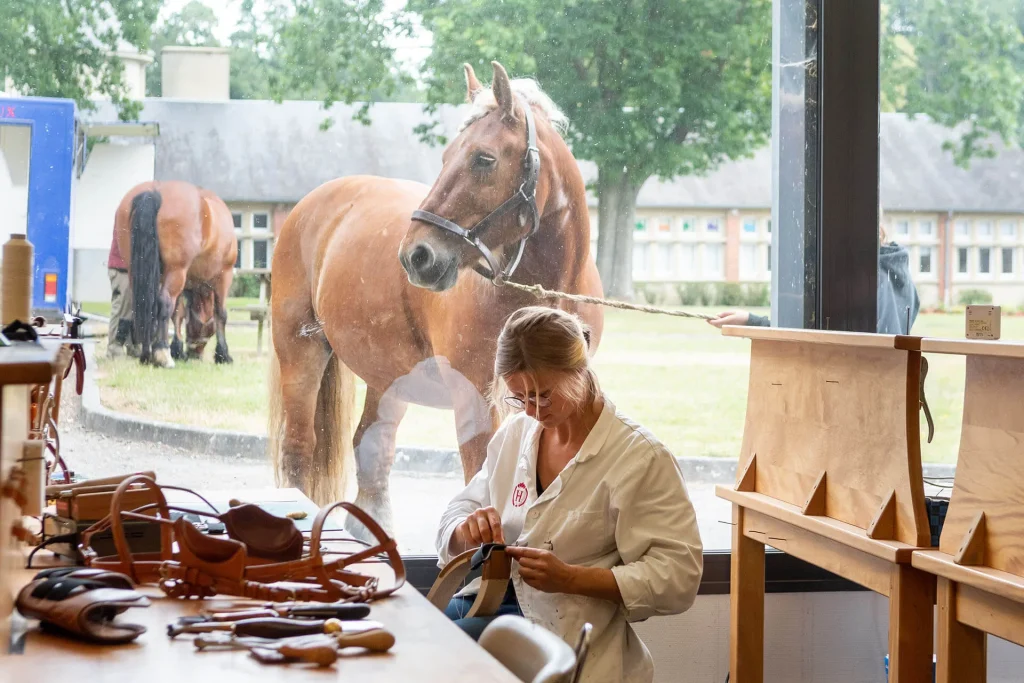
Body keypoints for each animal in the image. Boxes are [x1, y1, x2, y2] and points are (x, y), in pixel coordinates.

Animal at [114, 180, 237, 368]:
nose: (195, 352)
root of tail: (154, 191)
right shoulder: (223, 276)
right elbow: (220, 314)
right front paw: (223, 355)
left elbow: (178, 314)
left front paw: (177, 350)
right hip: (176, 271)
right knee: (164, 303)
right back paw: (162, 353)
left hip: (138, 272)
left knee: (144, 305)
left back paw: (147, 354)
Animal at [270, 61, 606, 536]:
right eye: (446, 156)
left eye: (484, 158)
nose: (416, 255)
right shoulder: (476, 400)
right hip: (301, 353)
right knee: (300, 447)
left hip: (387, 375)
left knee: (371, 451)